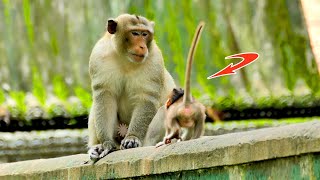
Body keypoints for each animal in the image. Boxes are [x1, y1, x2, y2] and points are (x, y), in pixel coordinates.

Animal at [87, 13, 175, 160]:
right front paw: (106, 143)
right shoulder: (98, 57)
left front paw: (133, 138)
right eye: (135, 33)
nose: (143, 47)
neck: (125, 58)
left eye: (145, 34)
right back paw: (96, 146)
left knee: (166, 109)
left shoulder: (154, 59)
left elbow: (146, 97)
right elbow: (105, 96)